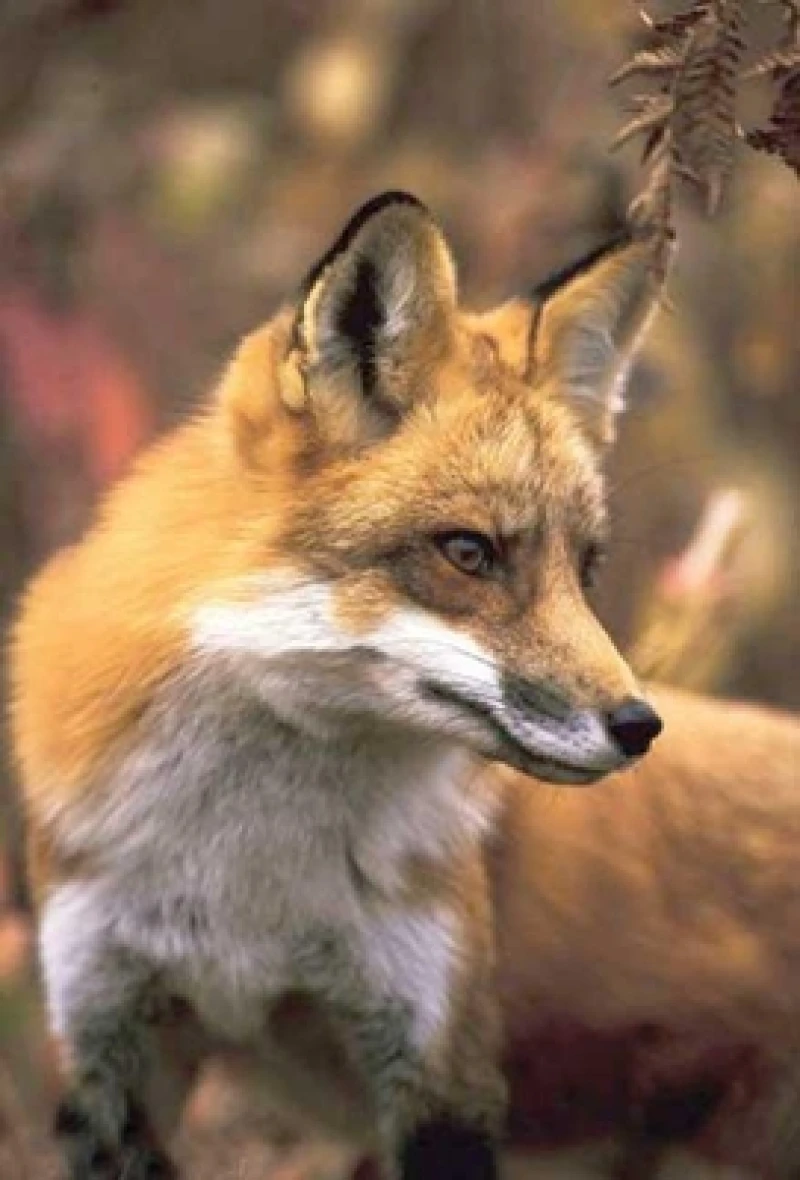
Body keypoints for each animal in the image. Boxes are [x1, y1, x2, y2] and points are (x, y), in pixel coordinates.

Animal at [9, 191, 670, 1180]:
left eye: (584, 570)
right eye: (469, 553)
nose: (639, 726)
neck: (243, 882)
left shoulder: (438, 1052)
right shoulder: (107, 1038)